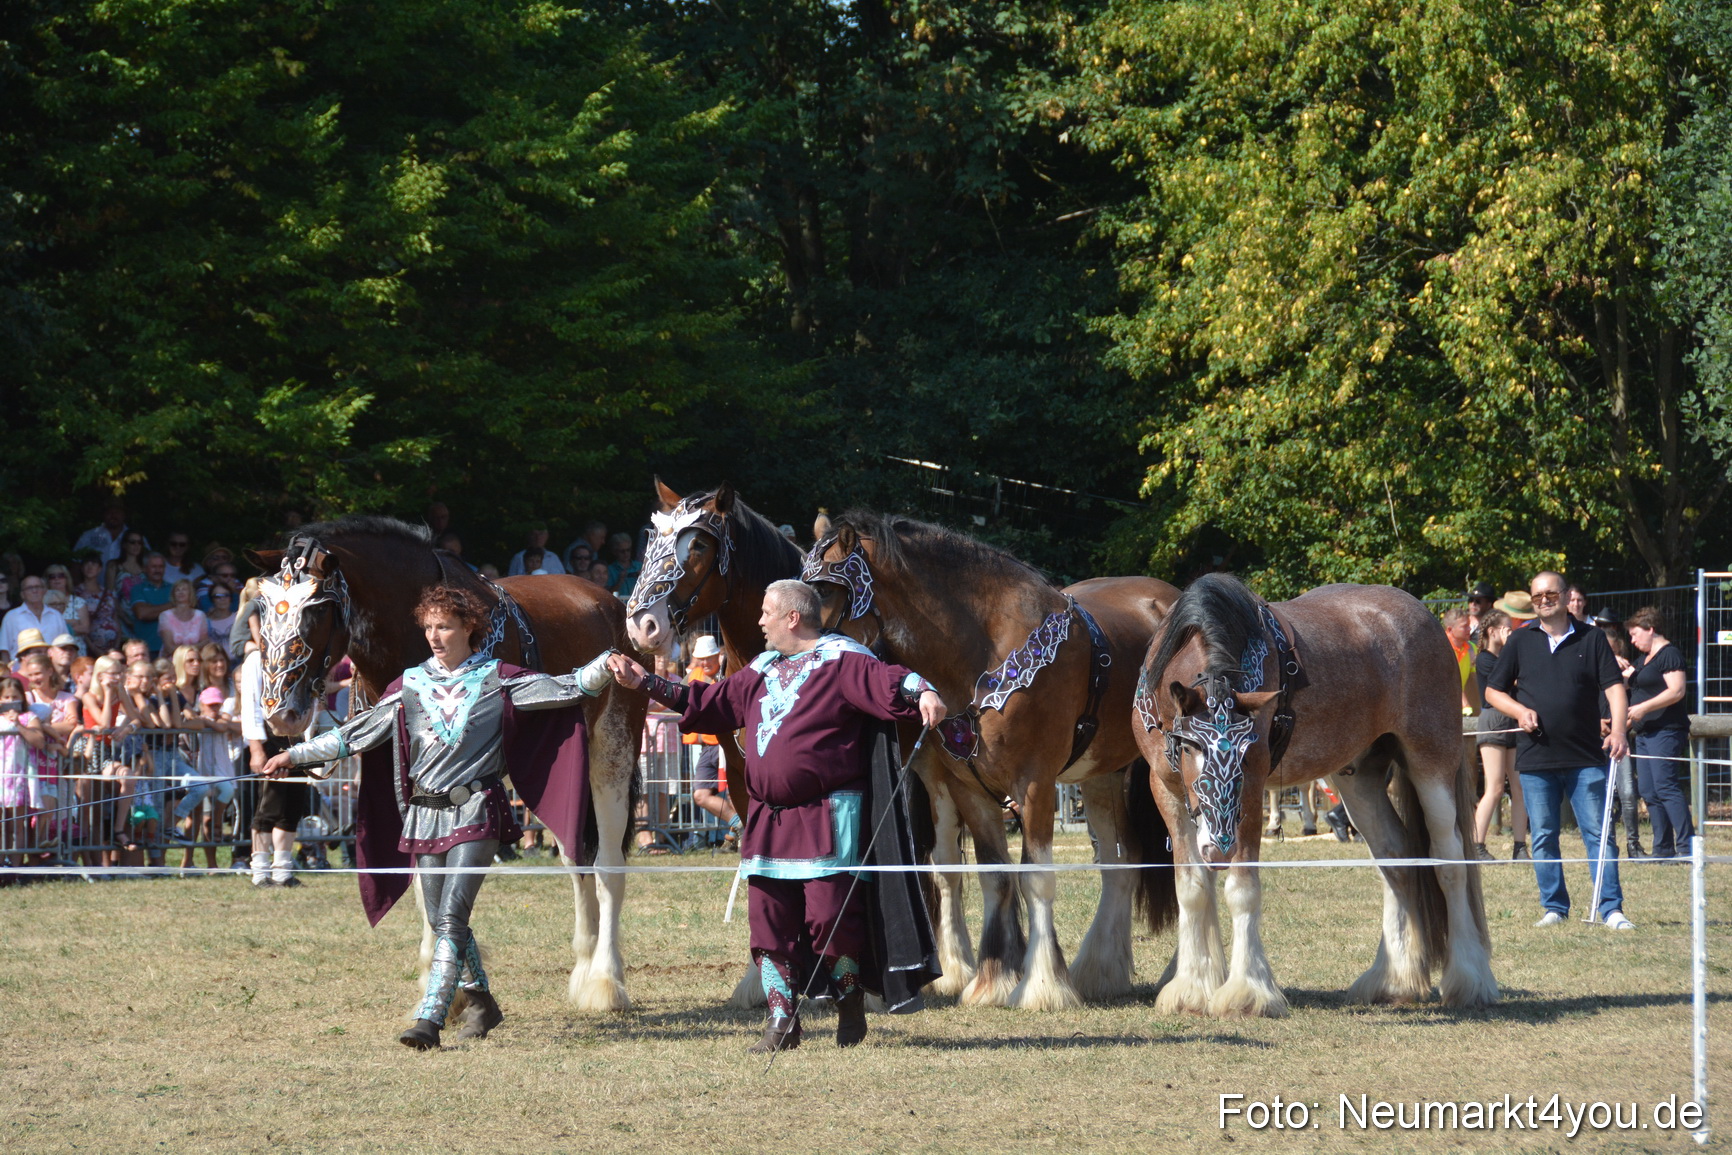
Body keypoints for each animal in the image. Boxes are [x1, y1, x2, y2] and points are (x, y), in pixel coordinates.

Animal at [249, 516, 647, 1012]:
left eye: (318, 607)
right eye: (264, 608)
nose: (279, 712)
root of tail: (611, 604)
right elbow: (425, 872)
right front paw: (442, 985)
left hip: (610, 751)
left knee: (608, 862)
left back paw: (605, 980)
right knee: (576, 856)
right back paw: (585, 965)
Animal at [804, 512, 1180, 1009]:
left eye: (826, 590)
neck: (987, 649)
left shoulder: (1035, 785)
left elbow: (1035, 878)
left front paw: (1042, 986)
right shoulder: (970, 790)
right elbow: (995, 877)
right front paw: (993, 979)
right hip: (1101, 774)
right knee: (1123, 860)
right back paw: (1101, 971)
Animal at [1131, 572, 1498, 1017]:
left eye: (1247, 752)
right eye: (1189, 746)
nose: (1219, 848)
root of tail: (1423, 616)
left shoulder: (1252, 792)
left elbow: (1242, 890)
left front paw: (1248, 991)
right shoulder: (1165, 790)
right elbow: (1191, 887)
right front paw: (1191, 986)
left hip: (1432, 761)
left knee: (1449, 860)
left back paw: (1469, 978)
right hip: (1358, 778)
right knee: (1395, 857)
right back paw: (1393, 979)